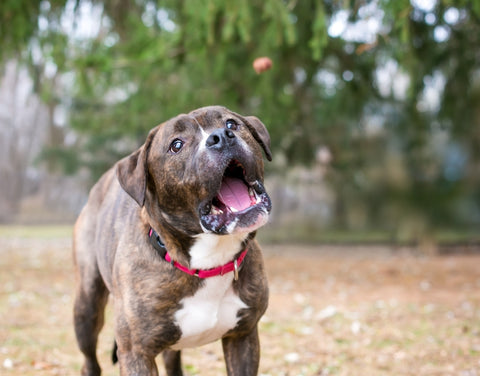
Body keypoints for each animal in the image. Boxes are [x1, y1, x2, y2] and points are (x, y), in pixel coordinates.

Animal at [73, 106, 272, 376]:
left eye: (231, 123)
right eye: (176, 145)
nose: (221, 136)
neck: (206, 263)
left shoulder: (243, 337)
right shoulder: (137, 354)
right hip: (87, 305)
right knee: (90, 360)